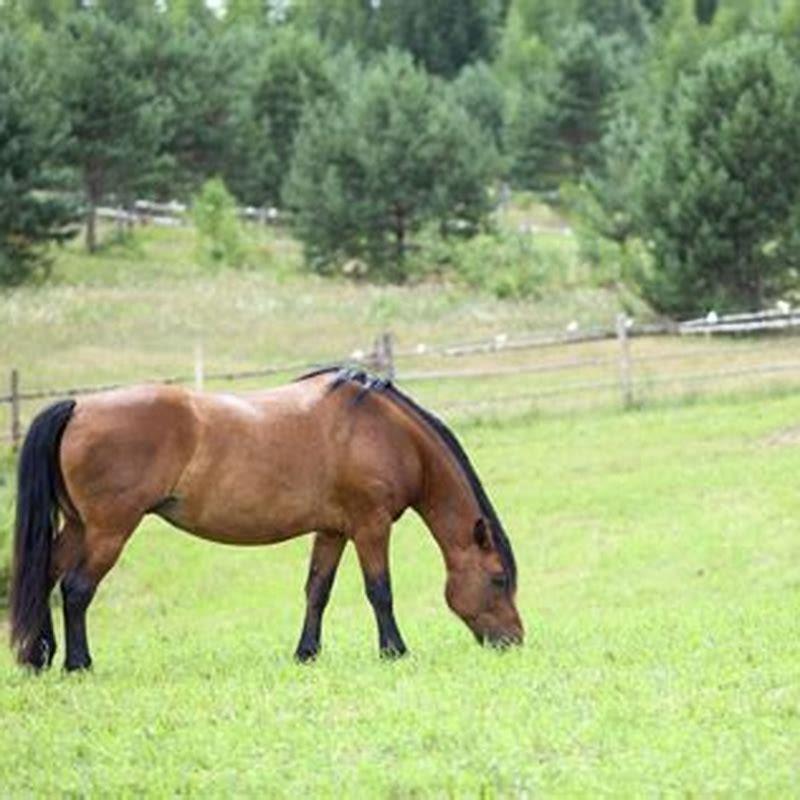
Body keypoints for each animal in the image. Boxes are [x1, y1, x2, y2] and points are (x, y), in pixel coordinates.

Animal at [9, 366, 520, 672]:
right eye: (498, 580)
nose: (515, 640)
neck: (384, 430)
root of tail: (79, 407)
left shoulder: (333, 531)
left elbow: (317, 591)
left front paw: (306, 654)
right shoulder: (370, 527)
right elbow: (380, 591)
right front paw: (394, 651)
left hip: (78, 527)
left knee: (46, 577)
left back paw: (39, 657)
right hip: (108, 530)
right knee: (76, 589)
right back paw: (78, 663)